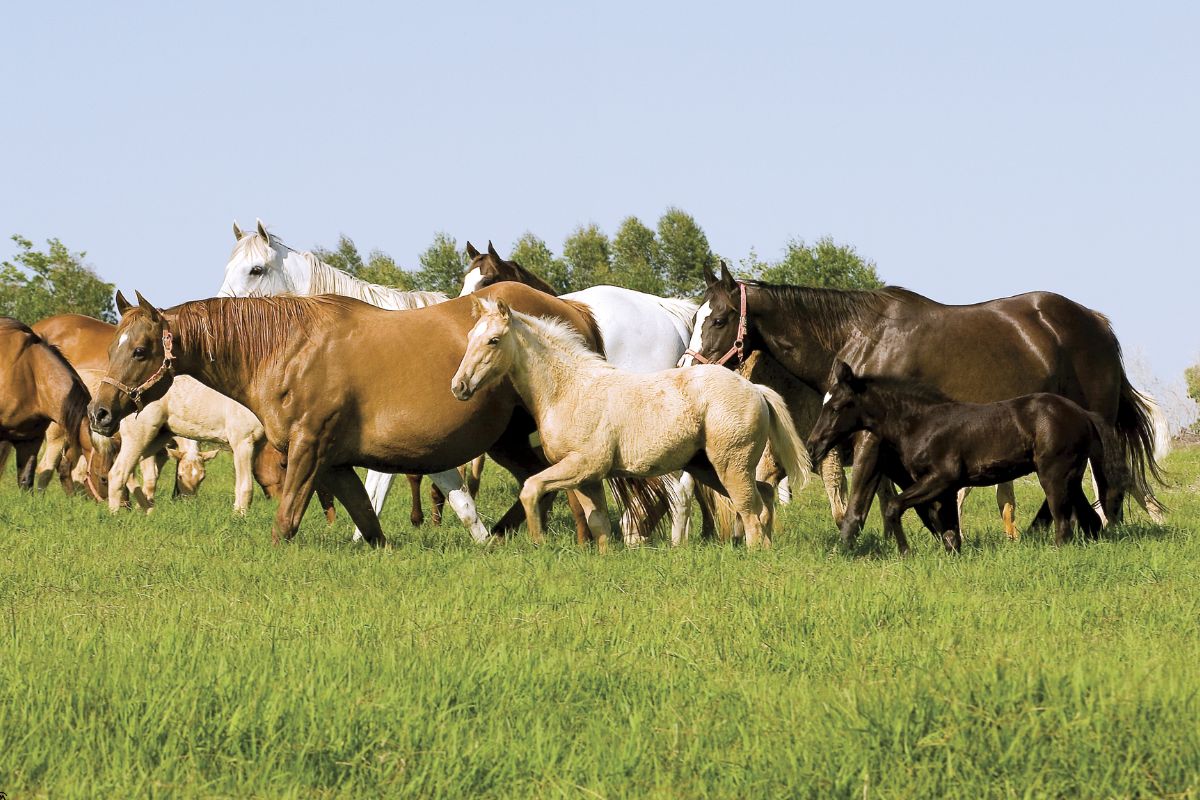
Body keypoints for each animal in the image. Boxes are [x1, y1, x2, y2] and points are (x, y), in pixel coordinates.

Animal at [89, 284, 666, 546]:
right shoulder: (337, 463)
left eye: (140, 349)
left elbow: (285, 523)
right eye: (114, 345)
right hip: (504, 440)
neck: (288, 350)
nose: (99, 412)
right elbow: (368, 524)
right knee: (538, 485)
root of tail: (572, 308)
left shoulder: (308, 453)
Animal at [450, 297, 811, 550]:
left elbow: (530, 489)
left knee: (750, 511)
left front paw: (538, 543)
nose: (459, 386)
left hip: (730, 466)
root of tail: (755, 389)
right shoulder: (588, 479)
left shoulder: (581, 466)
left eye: (493, 340)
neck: (570, 390)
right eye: (469, 335)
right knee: (763, 498)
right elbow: (598, 524)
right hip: (708, 468)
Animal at [809, 362, 1123, 549]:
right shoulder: (945, 489)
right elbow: (948, 530)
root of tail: (1083, 414)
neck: (921, 422)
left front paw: (905, 552)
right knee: (1090, 521)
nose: (813, 446)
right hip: (1071, 476)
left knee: (1064, 522)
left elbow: (894, 507)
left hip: (1054, 475)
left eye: (836, 407)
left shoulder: (940, 478)